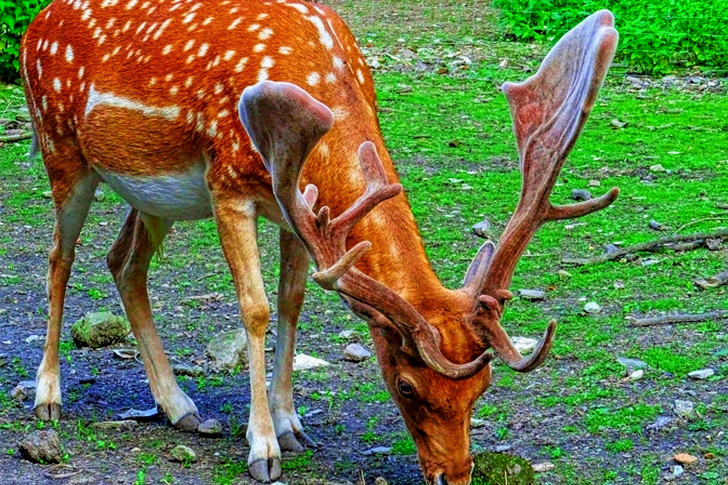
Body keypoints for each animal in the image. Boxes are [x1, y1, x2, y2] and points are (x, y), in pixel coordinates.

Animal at [20, 0, 618, 482]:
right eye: (406, 386)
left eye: (483, 388)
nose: (453, 474)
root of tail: (35, 23)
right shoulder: (228, 185)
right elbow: (256, 309)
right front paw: (262, 447)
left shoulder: (293, 210)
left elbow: (292, 302)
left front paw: (290, 425)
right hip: (60, 148)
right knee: (59, 257)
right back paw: (48, 396)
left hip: (151, 195)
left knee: (122, 263)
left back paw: (178, 406)